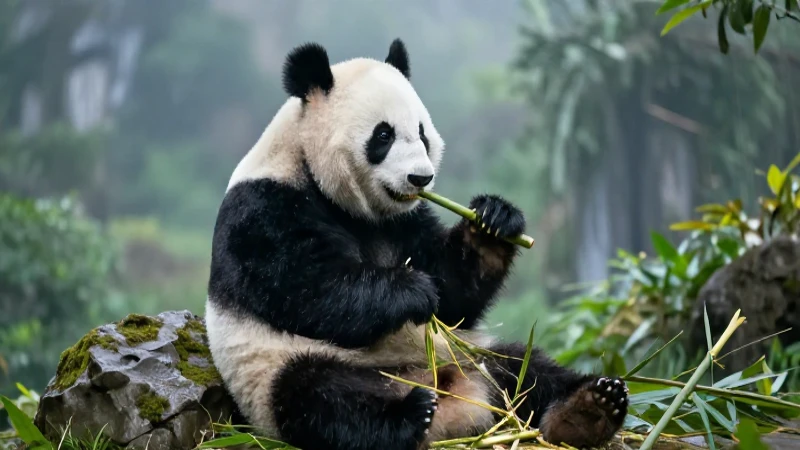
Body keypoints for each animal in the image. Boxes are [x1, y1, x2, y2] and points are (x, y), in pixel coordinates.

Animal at [205, 38, 628, 450]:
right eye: (384, 135)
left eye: (422, 132)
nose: (421, 178)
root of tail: (455, 402)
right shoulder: (264, 209)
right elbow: (306, 289)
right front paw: (411, 290)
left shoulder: (404, 221)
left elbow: (454, 298)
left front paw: (493, 222)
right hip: (276, 373)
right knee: (319, 398)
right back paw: (409, 414)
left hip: (468, 353)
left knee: (525, 369)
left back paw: (588, 408)